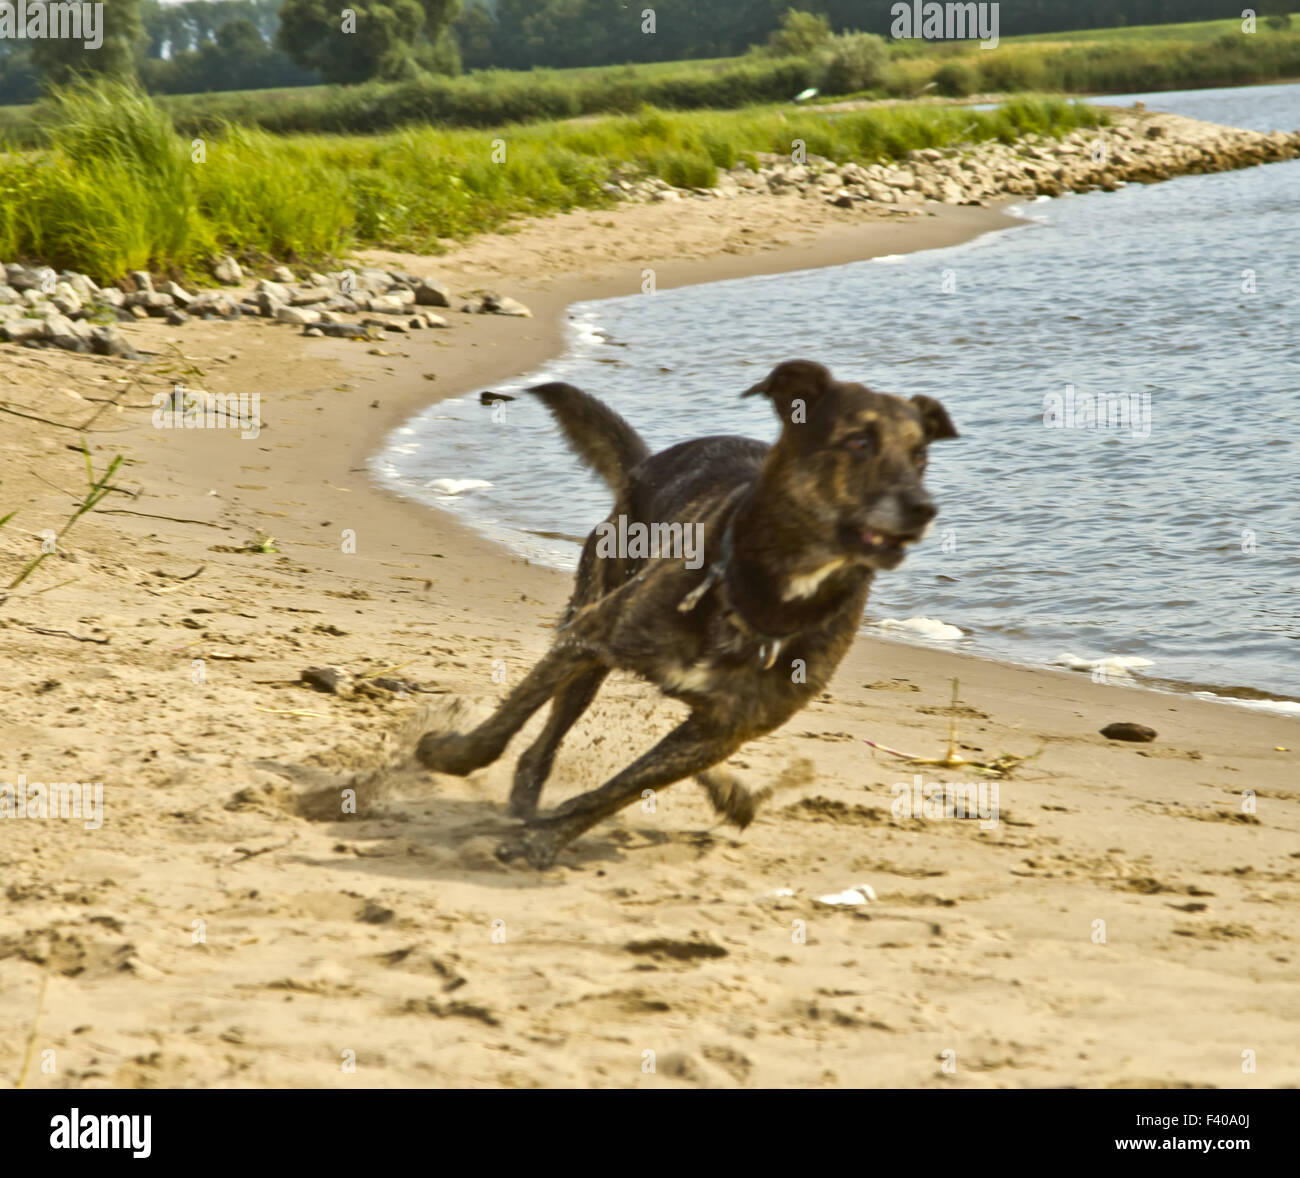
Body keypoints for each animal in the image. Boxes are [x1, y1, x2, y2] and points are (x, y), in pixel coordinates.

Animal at [416, 358, 956, 863]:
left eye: (921, 456)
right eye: (859, 441)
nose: (923, 508)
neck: (767, 596)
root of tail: (646, 465)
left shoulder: (728, 727)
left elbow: (621, 789)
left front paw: (544, 841)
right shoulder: (590, 635)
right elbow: (502, 727)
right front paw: (448, 755)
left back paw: (727, 792)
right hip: (591, 635)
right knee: (542, 741)